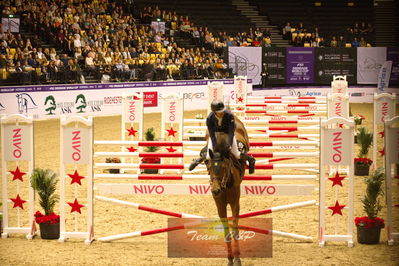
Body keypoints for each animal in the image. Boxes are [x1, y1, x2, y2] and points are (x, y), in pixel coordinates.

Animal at [206, 116, 250, 266]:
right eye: (208, 167)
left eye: (224, 167)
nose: (215, 190)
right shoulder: (220, 205)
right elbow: (226, 231)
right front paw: (230, 259)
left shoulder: (235, 203)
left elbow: (235, 229)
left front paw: (237, 259)